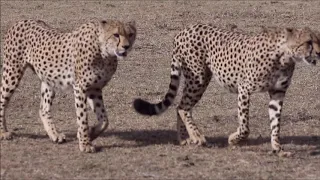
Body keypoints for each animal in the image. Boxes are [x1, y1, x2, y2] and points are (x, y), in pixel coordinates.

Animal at [0, 19, 136, 152]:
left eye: (130, 34)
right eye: (116, 35)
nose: (126, 46)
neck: (104, 53)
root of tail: (21, 21)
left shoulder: (94, 88)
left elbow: (104, 120)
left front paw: (90, 133)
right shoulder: (80, 87)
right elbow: (82, 117)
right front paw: (85, 143)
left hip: (49, 80)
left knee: (43, 108)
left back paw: (54, 135)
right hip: (12, 73)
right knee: (2, 100)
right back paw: (3, 132)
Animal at [134, 23, 320, 157]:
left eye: (319, 40)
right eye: (308, 42)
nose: (319, 53)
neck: (285, 56)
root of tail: (184, 29)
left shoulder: (277, 93)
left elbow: (275, 124)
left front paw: (278, 149)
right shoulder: (244, 88)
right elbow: (245, 127)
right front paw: (233, 140)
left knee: (180, 106)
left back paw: (184, 139)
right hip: (199, 78)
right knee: (182, 107)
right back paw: (197, 136)